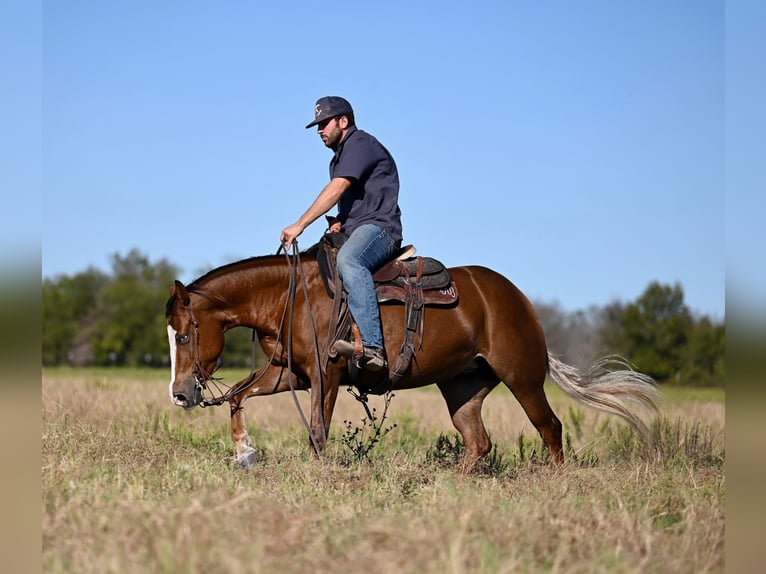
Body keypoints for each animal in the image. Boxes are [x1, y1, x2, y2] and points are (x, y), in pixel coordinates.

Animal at [165, 251, 664, 472]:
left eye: (185, 334)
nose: (180, 395)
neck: (292, 297)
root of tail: (519, 299)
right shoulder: (288, 373)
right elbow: (236, 395)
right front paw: (244, 451)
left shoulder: (325, 375)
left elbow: (317, 433)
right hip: (463, 387)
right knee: (478, 442)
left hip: (523, 379)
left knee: (550, 428)